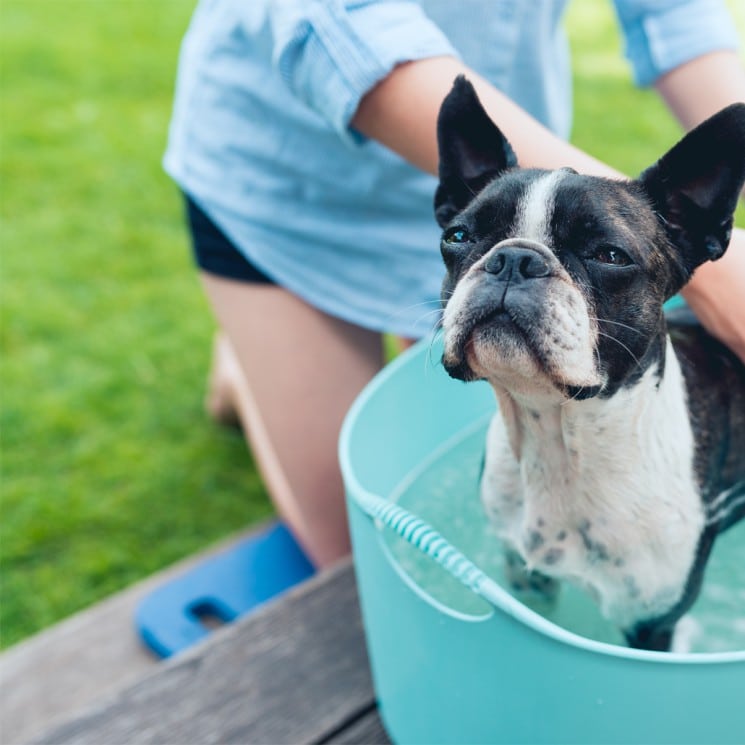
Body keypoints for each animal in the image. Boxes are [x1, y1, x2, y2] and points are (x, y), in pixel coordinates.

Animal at [434, 77, 744, 652]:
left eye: (610, 254)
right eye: (458, 237)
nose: (514, 258)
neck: (560, 438)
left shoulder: (651, 622)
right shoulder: (525, 574)